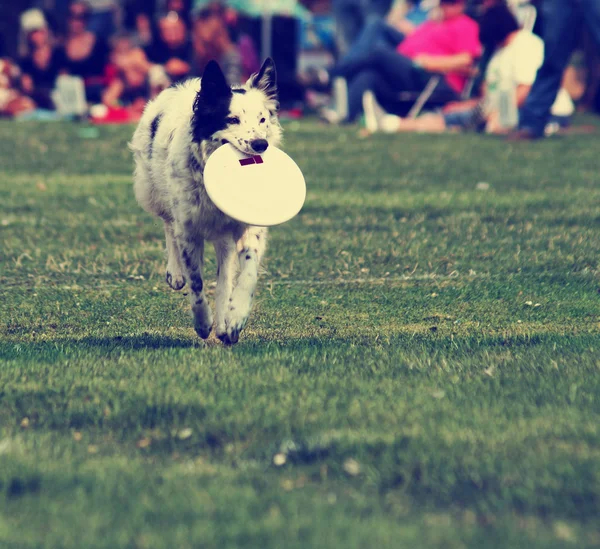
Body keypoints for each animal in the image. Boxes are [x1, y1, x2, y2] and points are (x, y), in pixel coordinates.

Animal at [131, 58, 282, 342]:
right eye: (232, 119)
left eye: (262, 119)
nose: (260, 144)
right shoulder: (189, 227)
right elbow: (196, 281)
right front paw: (202, 322)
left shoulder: (247, 226)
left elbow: (245, 272)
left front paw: (235, 318)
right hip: (154, 190)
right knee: (168, 225)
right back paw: (175, 273)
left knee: (224, 276)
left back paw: (223, 322)